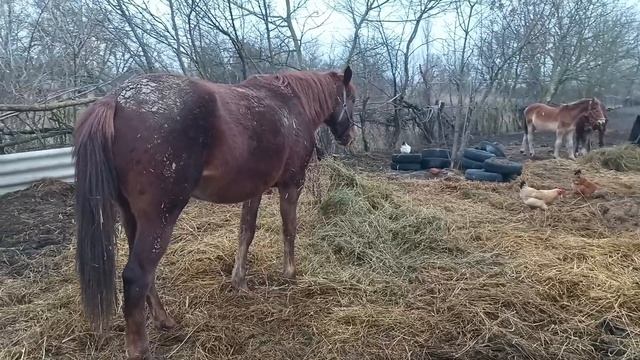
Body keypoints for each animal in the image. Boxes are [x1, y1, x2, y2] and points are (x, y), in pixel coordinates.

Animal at [74, 66, 360, 358]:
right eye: (351, 99)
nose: (350, 136)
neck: (292, 104)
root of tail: (117, 100)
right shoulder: (293, 184)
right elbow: (289, 229)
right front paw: (290, 274)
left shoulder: (254, 190)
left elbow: (246, 231)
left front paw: (240, 281)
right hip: (160, 217)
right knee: (137, 276)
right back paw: (142, 349)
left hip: (131, 216)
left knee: (145, 275)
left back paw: (164, 320)